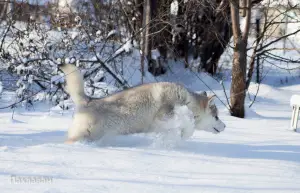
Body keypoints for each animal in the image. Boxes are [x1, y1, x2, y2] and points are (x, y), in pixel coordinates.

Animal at [59, 63, 225, 143]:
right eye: (216, 117)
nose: (225, 126)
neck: (188, 101)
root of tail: (87, 100)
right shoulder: (165, 115)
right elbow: (187, 122)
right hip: (82, 134)